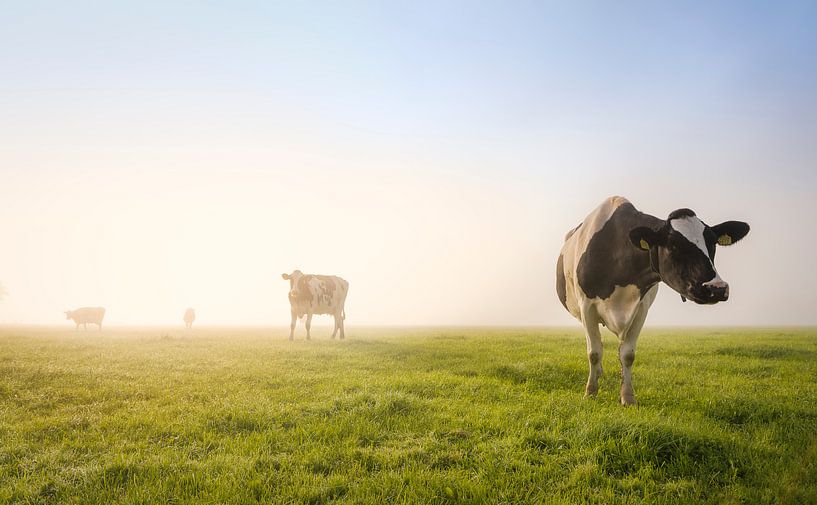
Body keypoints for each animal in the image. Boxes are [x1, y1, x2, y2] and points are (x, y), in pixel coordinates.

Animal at [556, 196, 749, 405]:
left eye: (712, 243)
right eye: (673, 245)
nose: (717, 288)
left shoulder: (641, 308)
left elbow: (627, 355)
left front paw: (627, 397)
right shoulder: (587, 306)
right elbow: (594, 353)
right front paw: (590, 392)